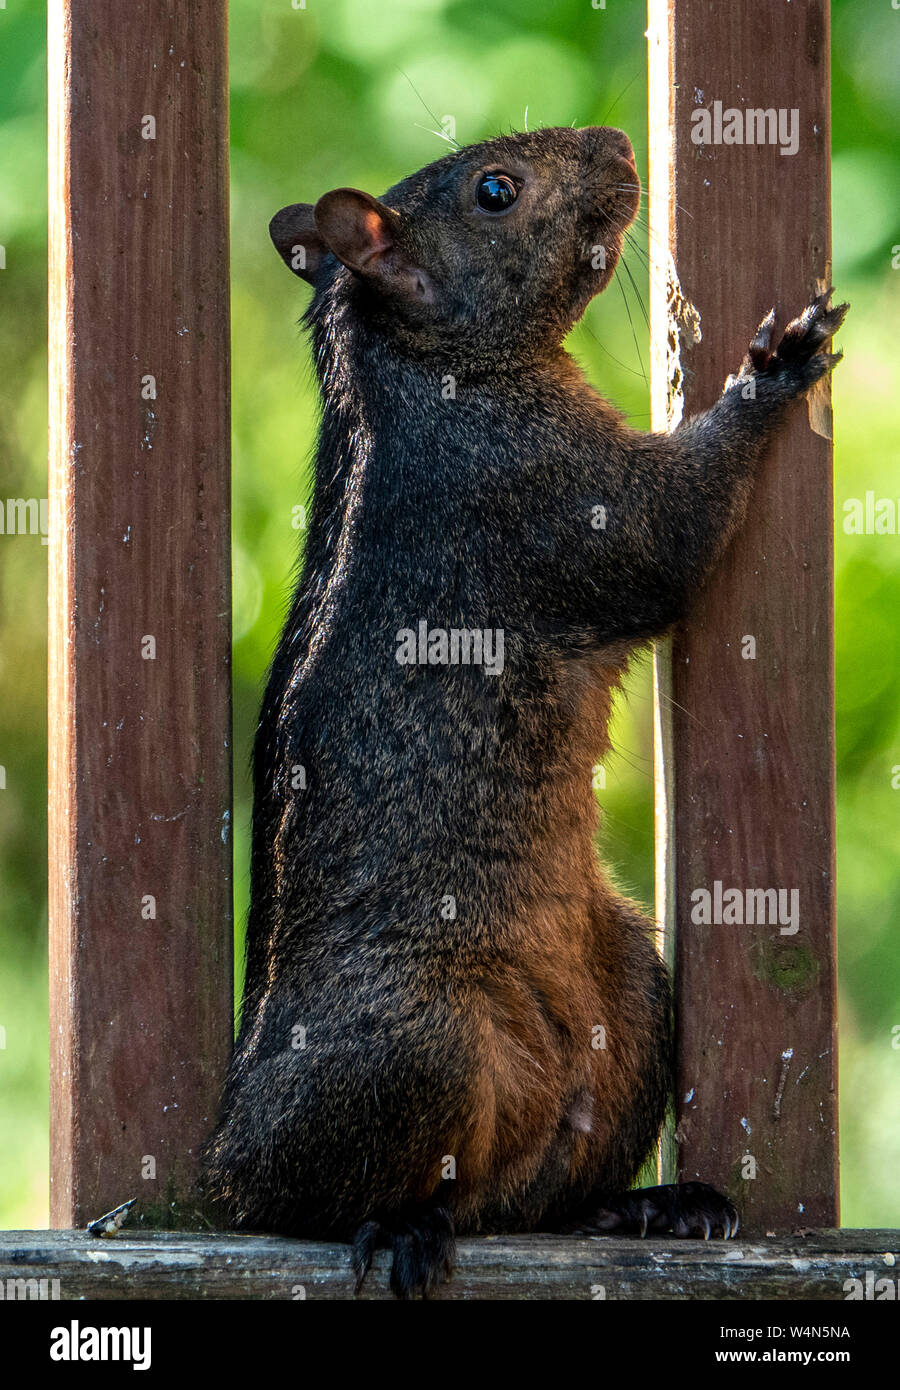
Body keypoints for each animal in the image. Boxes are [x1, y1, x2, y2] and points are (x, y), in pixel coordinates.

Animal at [203, 125, 845, 1295]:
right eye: (494, 192)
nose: (618, 143)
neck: (417, 376)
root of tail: (225, 1159)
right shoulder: (540, 491)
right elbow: (667, 533)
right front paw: (770, 374)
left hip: (629, 992)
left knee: (538, 1197)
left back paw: (648, 1206)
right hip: (415, 1042)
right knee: (319, 1203)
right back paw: (399, 1227)